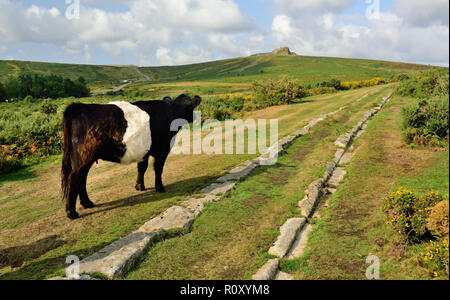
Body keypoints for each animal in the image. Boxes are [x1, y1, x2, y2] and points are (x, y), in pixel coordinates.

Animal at [60, 95, 201, 219]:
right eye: (190, 106)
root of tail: (80, 106)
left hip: (84, 159)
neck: (171, 112)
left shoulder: (144, 151)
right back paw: (71, 213)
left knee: (82, 179)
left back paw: (87, 203)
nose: (193, 117)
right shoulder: (163, 149)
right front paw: (160, 187)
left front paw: (139, 186)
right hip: (84, 156)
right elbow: (158, 169)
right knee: (74, 179)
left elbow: (142, 168)